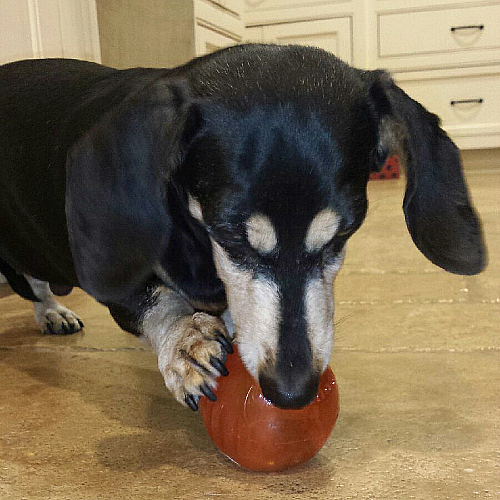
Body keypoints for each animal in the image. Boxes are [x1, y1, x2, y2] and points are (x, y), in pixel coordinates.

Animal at [0, 44, 484, 410]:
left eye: (341, 237)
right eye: (230, 235)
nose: (292, 393)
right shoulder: (116, 273)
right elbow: (154, 299)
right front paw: (186, 341)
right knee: (31, 283)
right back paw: (52, 311)